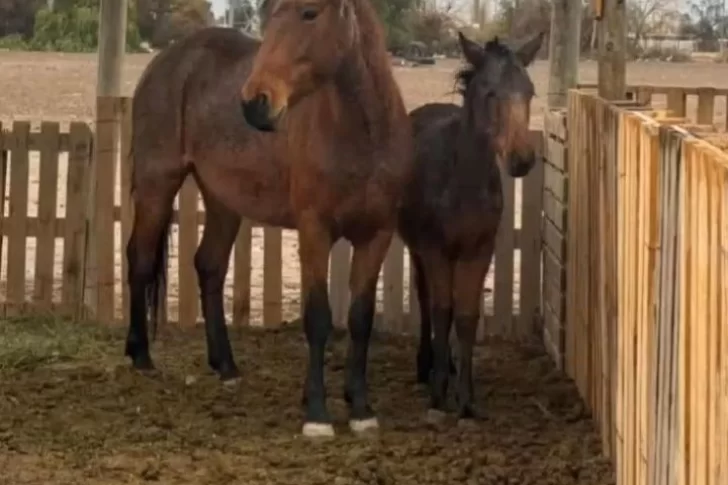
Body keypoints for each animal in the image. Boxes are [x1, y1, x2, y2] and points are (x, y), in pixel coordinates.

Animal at [125, 0, 413, 438]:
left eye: (310, 13)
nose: (254, 102)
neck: (362, 135)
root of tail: (166, 59)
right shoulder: (315, 232)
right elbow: (318, 318)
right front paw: (317, 414)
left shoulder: (376, 236)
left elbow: (361, 319)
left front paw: (360, 407)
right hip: (157, 184)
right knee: (139, 260)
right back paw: (140, 355)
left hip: (223, 199)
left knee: (208, 265)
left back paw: (225, 366)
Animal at [398, 31, 544, 423]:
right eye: (490, 92)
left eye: (530, 91)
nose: (522, 159)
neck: (462, 181)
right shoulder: (435, 249)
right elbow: (441, 310)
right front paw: (438, 395)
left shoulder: (479, 251)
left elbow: (465, 316)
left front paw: (466, 398)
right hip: (416, 248)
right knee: (425, 298)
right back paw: (426, 365)